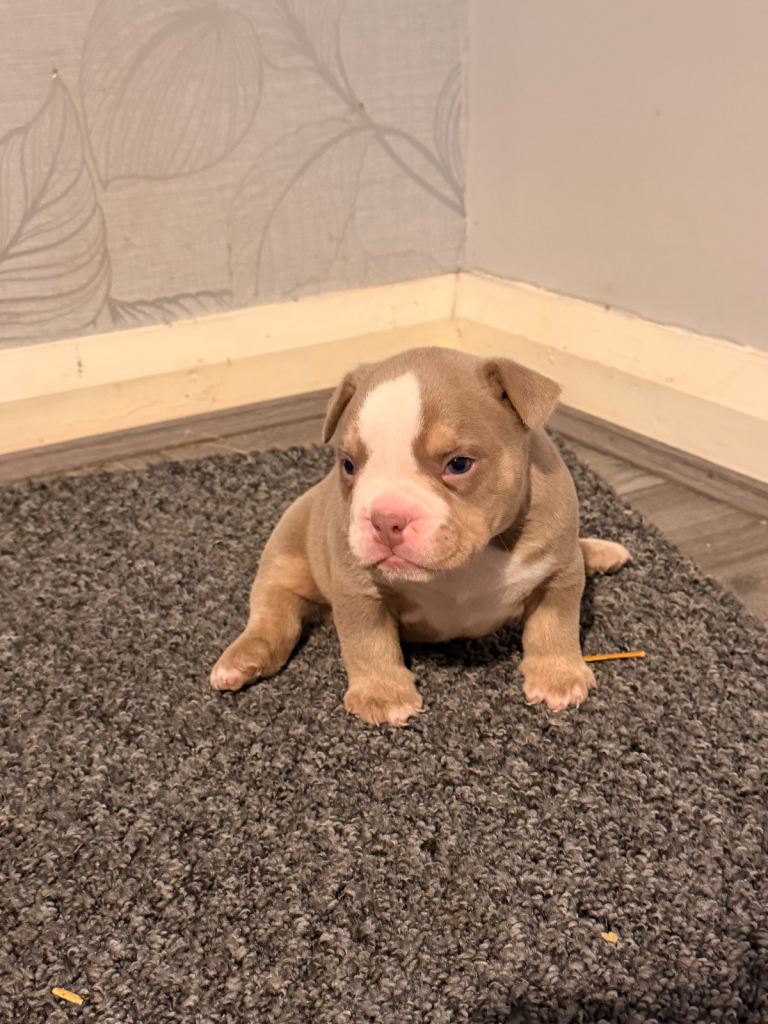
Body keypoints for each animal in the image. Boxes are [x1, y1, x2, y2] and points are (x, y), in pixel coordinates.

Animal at [210, 347, 630, 725]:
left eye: (458, 464)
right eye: (348, 464)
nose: (386, 519)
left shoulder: (557, 572)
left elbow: (553, 626)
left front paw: (557, 676)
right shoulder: (356, 588)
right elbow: (368, 642)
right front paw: (383, 695)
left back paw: (601, 552)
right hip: (286, 552)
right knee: (273, 610)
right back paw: (243, 660)